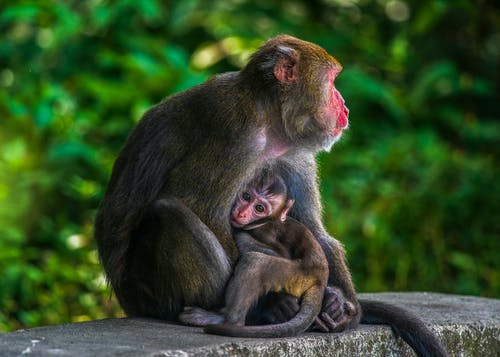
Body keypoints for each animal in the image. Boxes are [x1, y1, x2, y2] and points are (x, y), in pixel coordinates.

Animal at [180, 172, 328, 336]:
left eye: (259, 208)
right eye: (246, 196)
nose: (241, 213)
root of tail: (320, 279)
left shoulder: (265, 229)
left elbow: (277, 252)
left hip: (297, 275)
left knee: (253, 262)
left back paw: (227, 320)